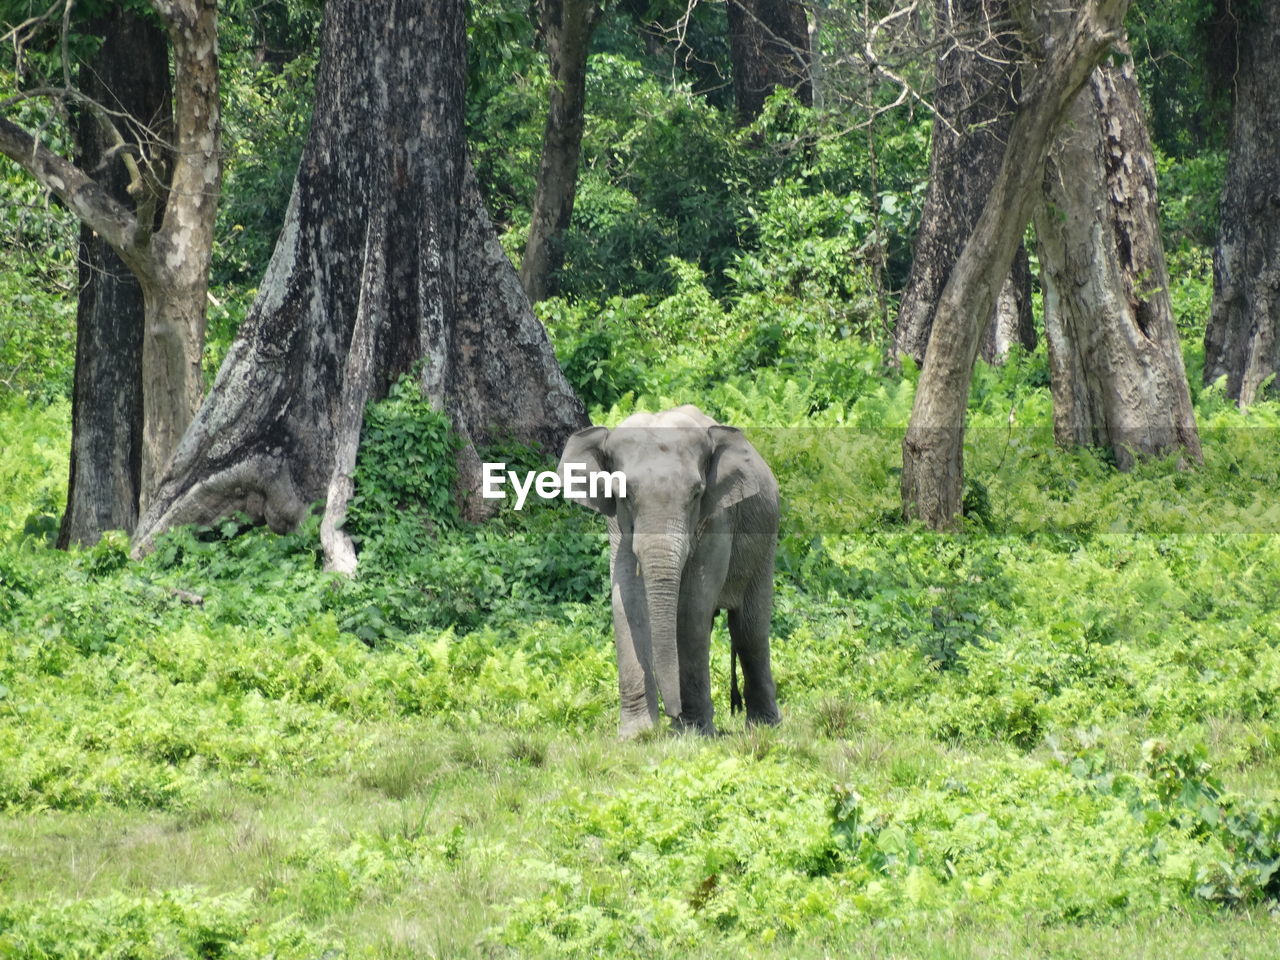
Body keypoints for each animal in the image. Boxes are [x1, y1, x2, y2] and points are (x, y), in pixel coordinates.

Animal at [558, 401, 778, 742]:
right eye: (624, 495)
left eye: (697, 493)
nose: (671, 714)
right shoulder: (617, 524)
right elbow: (629, 603)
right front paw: (636, 735)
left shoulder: (718, 517)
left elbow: (691, 607)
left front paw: (694, 733)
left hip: (766, 538)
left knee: (748, 630)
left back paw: (764, 726)